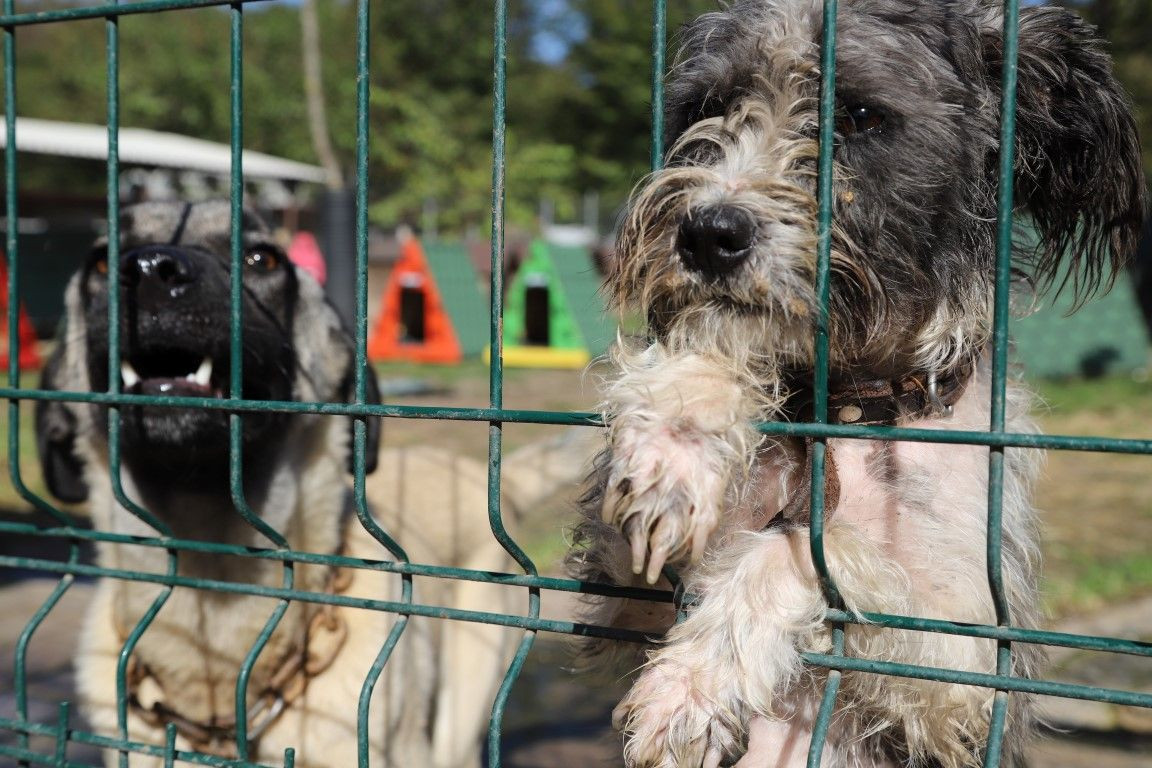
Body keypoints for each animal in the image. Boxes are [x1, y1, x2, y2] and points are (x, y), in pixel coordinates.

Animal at [571, 1, 1147, 768]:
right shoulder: (615, 605)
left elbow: (813, 548)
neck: (852, 413)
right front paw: (677, 434)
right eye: (705, 107)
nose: (707, 234)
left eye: (863, 116)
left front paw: (690, 683)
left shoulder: (969, 668)